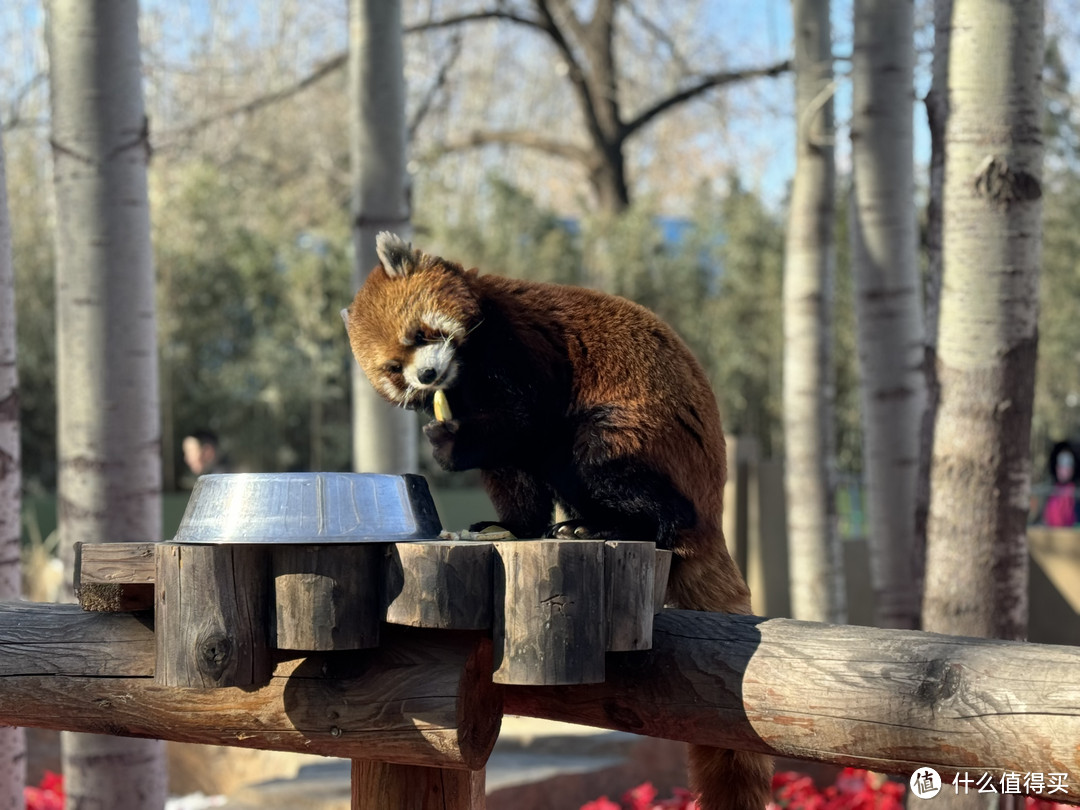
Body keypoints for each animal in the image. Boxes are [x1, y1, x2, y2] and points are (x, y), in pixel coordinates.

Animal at [341, 231, 773, 807]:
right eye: (394, 367)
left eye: (420, 334)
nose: (427, 375)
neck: (464, 368)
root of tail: (714, 502)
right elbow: (513, 469)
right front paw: (514, 526)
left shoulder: (517, 344)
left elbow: (525, 422)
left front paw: (450, 444)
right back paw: (581, 525)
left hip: (645, 436)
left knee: (592, 455)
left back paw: (620, 526)